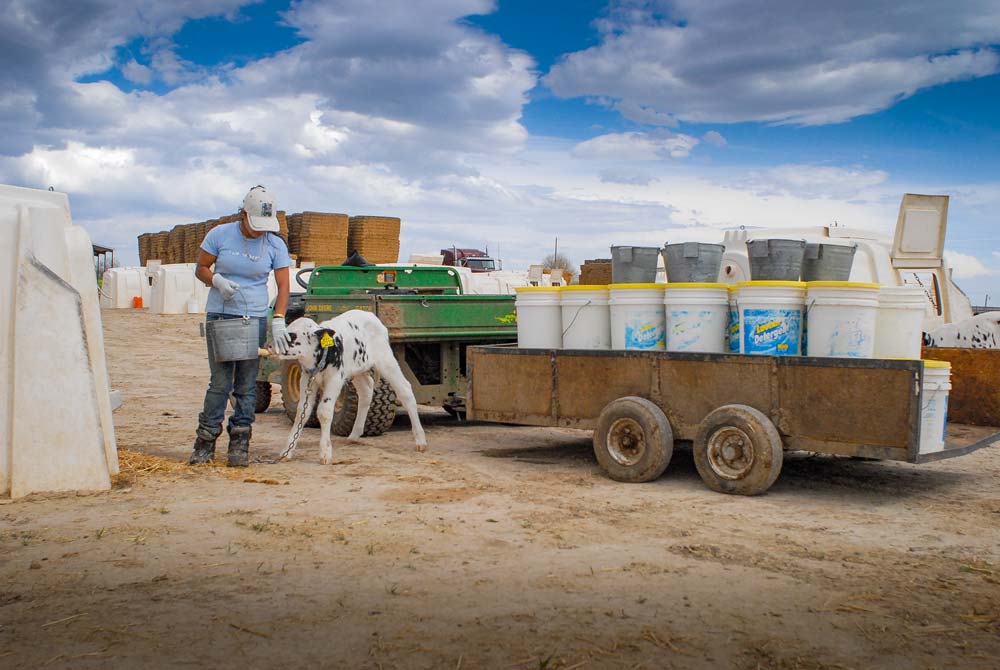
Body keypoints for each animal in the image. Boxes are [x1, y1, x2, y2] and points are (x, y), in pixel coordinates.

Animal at [274, 312, 426, 464]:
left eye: (293, 336)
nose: (271, 345)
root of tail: (370, 315)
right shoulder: (306, 379)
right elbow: (302, 412)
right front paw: (287, 451)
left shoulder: (335, 379)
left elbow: (324, 411)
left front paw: (325, 452)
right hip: (357, 371)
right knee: (366, 391)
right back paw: (354, 434)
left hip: (386, 361)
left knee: (405, 390)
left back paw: (420, 440)